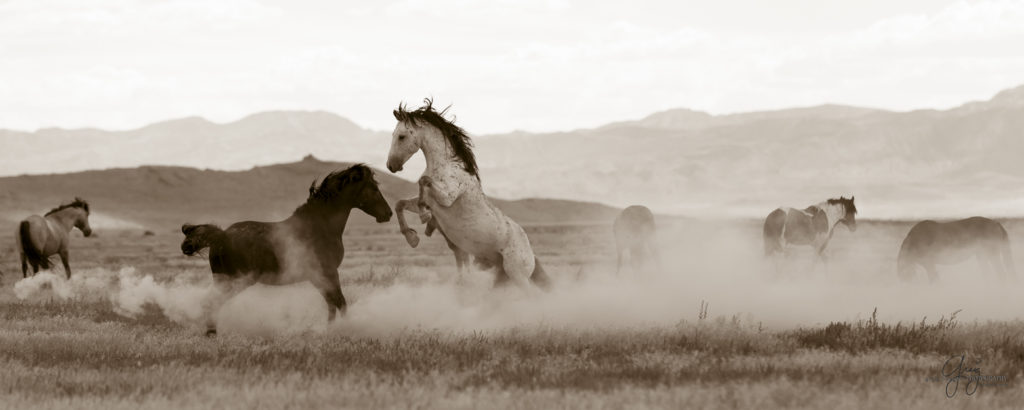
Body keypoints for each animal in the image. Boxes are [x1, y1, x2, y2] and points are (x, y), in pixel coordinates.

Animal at [180, 164, 391, 336]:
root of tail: (221, 235)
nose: (388, 214)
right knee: (211, 303)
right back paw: (213, 334)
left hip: (223, 280)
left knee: (209, 303)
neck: (320, 225)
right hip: (235, 280)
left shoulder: (319, 276)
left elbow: (332, 304)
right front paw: (345, 330)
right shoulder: (328, 272)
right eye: (374, 188)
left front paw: (330, 330)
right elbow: (340, 303)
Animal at [387, 99, 552, 291]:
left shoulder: (447, 197)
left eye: (401, 136)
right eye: (393, 134)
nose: (391, 165)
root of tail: (531, 253)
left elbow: (423, 180)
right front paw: (412, 237)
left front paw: (424, 216)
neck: (446, 166)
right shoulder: (430, 200)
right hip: (502, 278)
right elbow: (400, 203)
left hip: (517, 275)